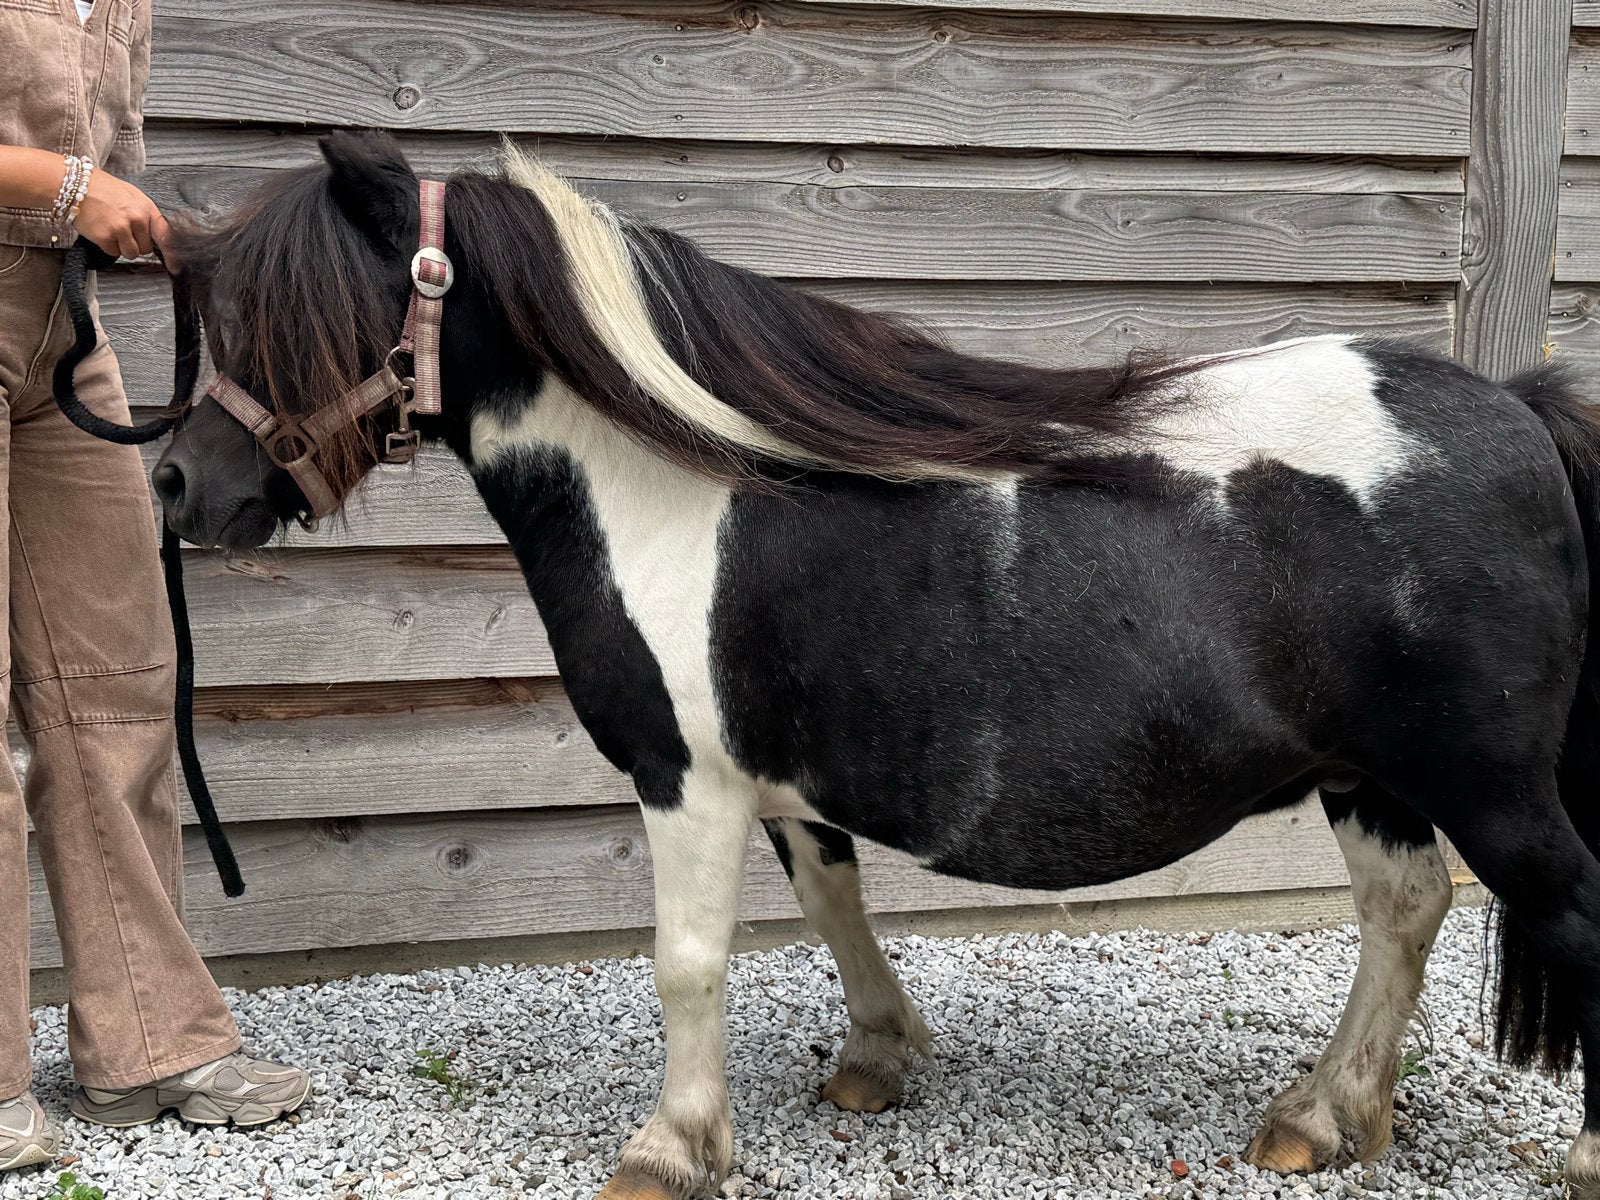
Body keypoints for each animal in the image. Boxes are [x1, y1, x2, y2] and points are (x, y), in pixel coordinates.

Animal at [150, 129, 1600, 1200]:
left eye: (300, 314)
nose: (175, 481)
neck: (676, 488)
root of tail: (1515, 407)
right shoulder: (784, 783)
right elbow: (832, 906)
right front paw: (874, 1059)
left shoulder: (687, 778)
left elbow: (687, 959)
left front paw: (672, 1148)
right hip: (1372, 777)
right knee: (1402, 911)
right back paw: (1325, 1112)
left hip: (1485, 785)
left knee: (1568, 905)